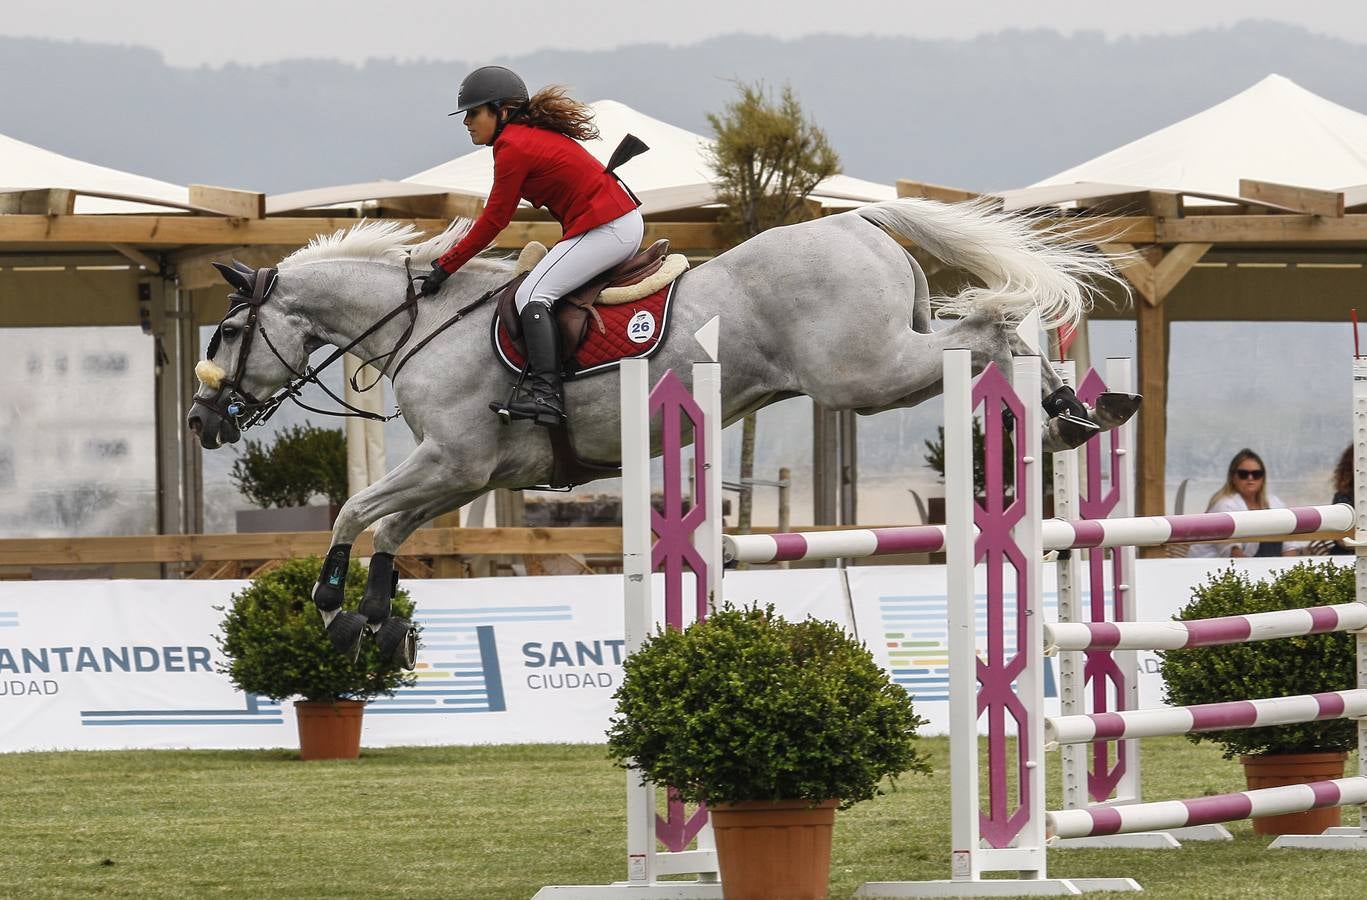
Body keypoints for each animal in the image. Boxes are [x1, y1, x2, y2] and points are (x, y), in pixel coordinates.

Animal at [190, 198, 1131, 659]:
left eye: (228, 333)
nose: (202, 421)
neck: (424, 323)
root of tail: (855, 220)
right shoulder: (468, 473)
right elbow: (390, 529)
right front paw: (378, 623)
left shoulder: (450, 459)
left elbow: (356, 512)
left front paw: (331, 608)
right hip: (883, 358)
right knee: (987, 328)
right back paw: (1074, 412)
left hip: (865, 373)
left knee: (987, 327)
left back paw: (1062, 411)